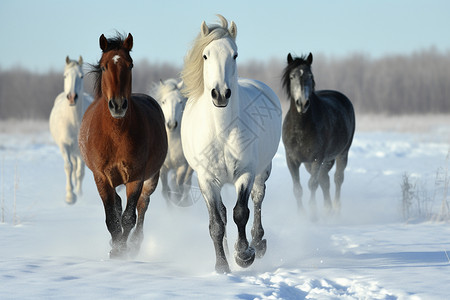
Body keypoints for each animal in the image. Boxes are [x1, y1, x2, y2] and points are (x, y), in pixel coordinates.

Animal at [49, 55, 93, 204]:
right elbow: (69, 167)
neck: (74, 122)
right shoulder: (64, 145)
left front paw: (78, 193)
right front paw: (70, 196)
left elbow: (80, 172)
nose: (72, 97)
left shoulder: (82, 149)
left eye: (81, 76)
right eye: (65, 75)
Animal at [78, 33, 168, 258]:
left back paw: (135, 242)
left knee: (143, 206)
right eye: (104, 67)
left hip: (151, 178)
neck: (116, 135)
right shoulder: (101, 178)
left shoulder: (136, 177)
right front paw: (116, 248)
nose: (118, 105)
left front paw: (123, 250)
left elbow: (129, 217)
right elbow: (112, 217)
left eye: (130, 65)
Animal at [151, 78, 193, 207]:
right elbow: (166, 192)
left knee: (186, 185)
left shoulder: (182, 166)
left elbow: (179, 190)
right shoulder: (162, 168)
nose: (171, 124)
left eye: (180, 102)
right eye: (163, 102)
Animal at [180, 15, 282, 274]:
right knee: (223, 214)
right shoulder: (206, 179)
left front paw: (244, 255)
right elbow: (216, 223)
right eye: (206, 55)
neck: (222, 132)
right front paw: (222, 265)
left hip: (262, 171)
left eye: (234, 55)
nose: (220, 94)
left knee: (257, 199)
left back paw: (258, 243)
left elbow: (241, 213)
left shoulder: (245, 173)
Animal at [282, 52, 356, 216]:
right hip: (314, 162)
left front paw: (313, 214)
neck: (301, 128)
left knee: (337, 178)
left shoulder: (317, 158)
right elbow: (298, 189)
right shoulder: (292, 160)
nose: (302, 103)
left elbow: (312, 184)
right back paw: (328, 209)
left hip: (342, 154)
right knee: (325, 179)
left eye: (310, 76)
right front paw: (301, 215)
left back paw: (336, 208)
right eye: (292, 76)